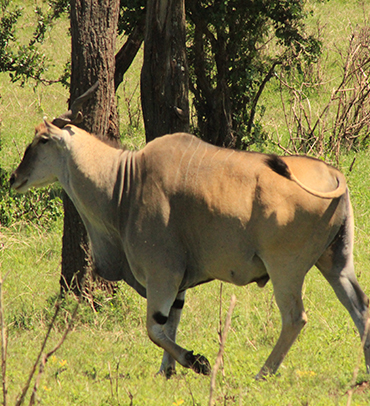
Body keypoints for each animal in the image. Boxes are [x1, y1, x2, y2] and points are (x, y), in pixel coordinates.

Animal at [8, 87, 370, 380]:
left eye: (42, 140)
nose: (14, 178)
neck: (125, 181)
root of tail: (334, 175)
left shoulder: (163, 274)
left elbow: (154, 328)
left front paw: (198, 362)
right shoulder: (177, 284)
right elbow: (169, 324)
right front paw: (166, 371)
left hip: (286, 269)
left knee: (295, 318)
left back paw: (263, 373)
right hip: (336, 264)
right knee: (360, 308)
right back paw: (364, 373)